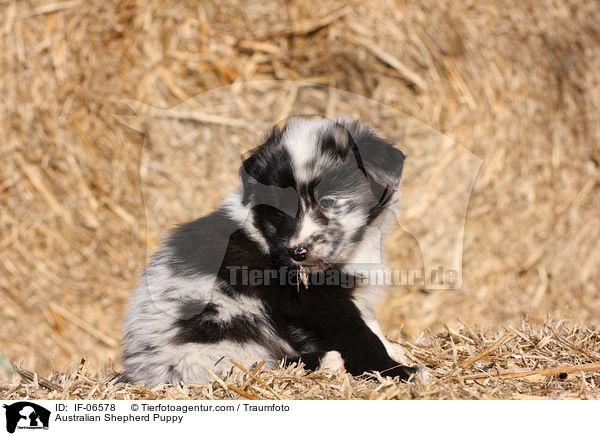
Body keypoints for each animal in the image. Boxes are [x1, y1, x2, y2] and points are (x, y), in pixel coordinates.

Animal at [122, 116, 418, 384]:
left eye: (328, 201)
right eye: (279, 208)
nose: (297, 252)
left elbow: (372, 324)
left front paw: (396, 351)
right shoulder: (316, 302)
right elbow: (358, 335)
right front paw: (397, 372)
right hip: (225, 328)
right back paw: (330, 362)